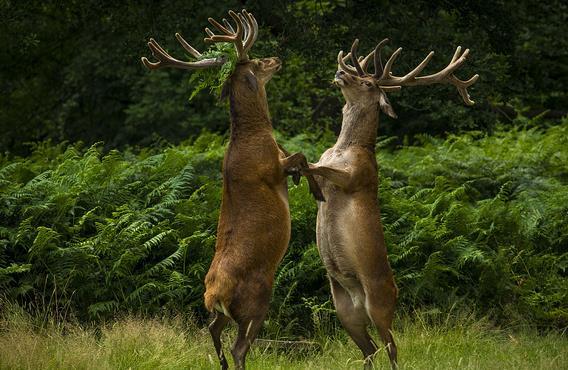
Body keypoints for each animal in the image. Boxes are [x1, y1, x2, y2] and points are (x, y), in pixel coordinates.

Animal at [141, 9, 324, 370]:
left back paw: (222, 362)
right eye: (256, 62)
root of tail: (213, 294)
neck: (255, 134)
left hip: (225, 313)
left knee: (212, 329)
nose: (276, 59)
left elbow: (299, 156)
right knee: (240, 346)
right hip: (257, 299)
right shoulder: (271, 169)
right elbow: (301, 156)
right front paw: (313, 188)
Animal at [302, 39, 480, 368]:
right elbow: (314, 168)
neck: (344, 148)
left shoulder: (358, 176)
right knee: (370, 349)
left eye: (368, 82)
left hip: (380, 303)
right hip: (344, 311)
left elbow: (322, 168)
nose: (339, 73)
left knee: (392, 347)